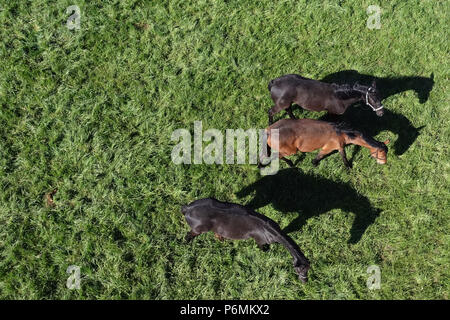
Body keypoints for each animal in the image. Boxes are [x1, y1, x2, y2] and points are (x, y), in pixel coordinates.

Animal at [181, 198, 312, 282]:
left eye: (308, 269)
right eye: (299, 271)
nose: (305, 282)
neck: (269, 230)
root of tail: (187, 208)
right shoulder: (260, 241)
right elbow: (264, 250)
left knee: (217, 233)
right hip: (198, 229)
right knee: (188, 235)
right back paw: (186, 244)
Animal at [260, 119, 390, 169]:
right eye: (382, 154)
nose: (384, 163)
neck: (342, 132)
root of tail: (269, 130)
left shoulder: (339, 147)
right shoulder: (330, 148)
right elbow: (340, 157)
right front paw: (348, 168)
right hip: (291, 151)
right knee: (277, 156)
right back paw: (291, 164)